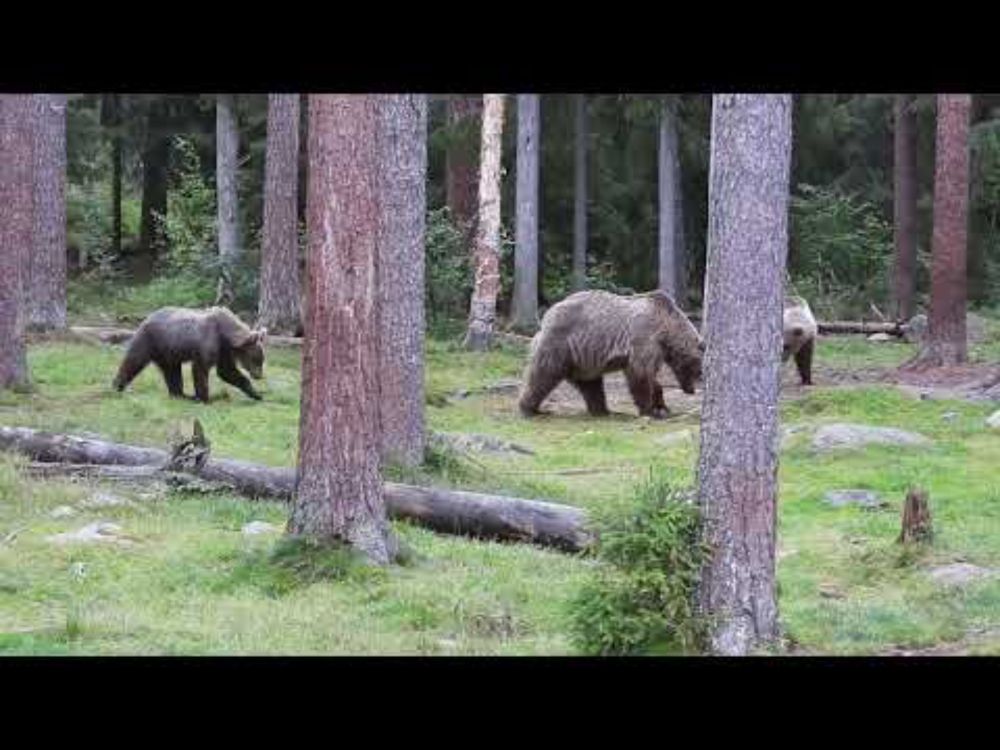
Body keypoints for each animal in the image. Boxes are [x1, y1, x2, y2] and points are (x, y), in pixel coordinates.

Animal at [112, 306, 268, 402]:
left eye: (261, 360)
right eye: (256, 359)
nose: (259, 375)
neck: (224, 332)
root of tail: (147, 318)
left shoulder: (223, 350)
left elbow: (227, 371)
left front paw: (256, 394)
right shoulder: (208, 342)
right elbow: (201, 369)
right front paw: (205, 398)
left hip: (168, 352)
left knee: (172, 372)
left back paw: (180, 394)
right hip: (150, 340)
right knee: (133, 360)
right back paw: (117, 387)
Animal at [520, 290, 708, 420]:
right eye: (698, 369)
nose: (691, 390)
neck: (666, 330)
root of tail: (547, 316)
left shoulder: (655, 347)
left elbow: (650, 377)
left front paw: (662, 407)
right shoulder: (644, 339)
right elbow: (641, 374)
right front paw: (650, 410)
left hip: (584, 358)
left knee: (591, 385)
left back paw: (603, 410)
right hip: (561, 344)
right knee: (543, 374)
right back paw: (529, 409)